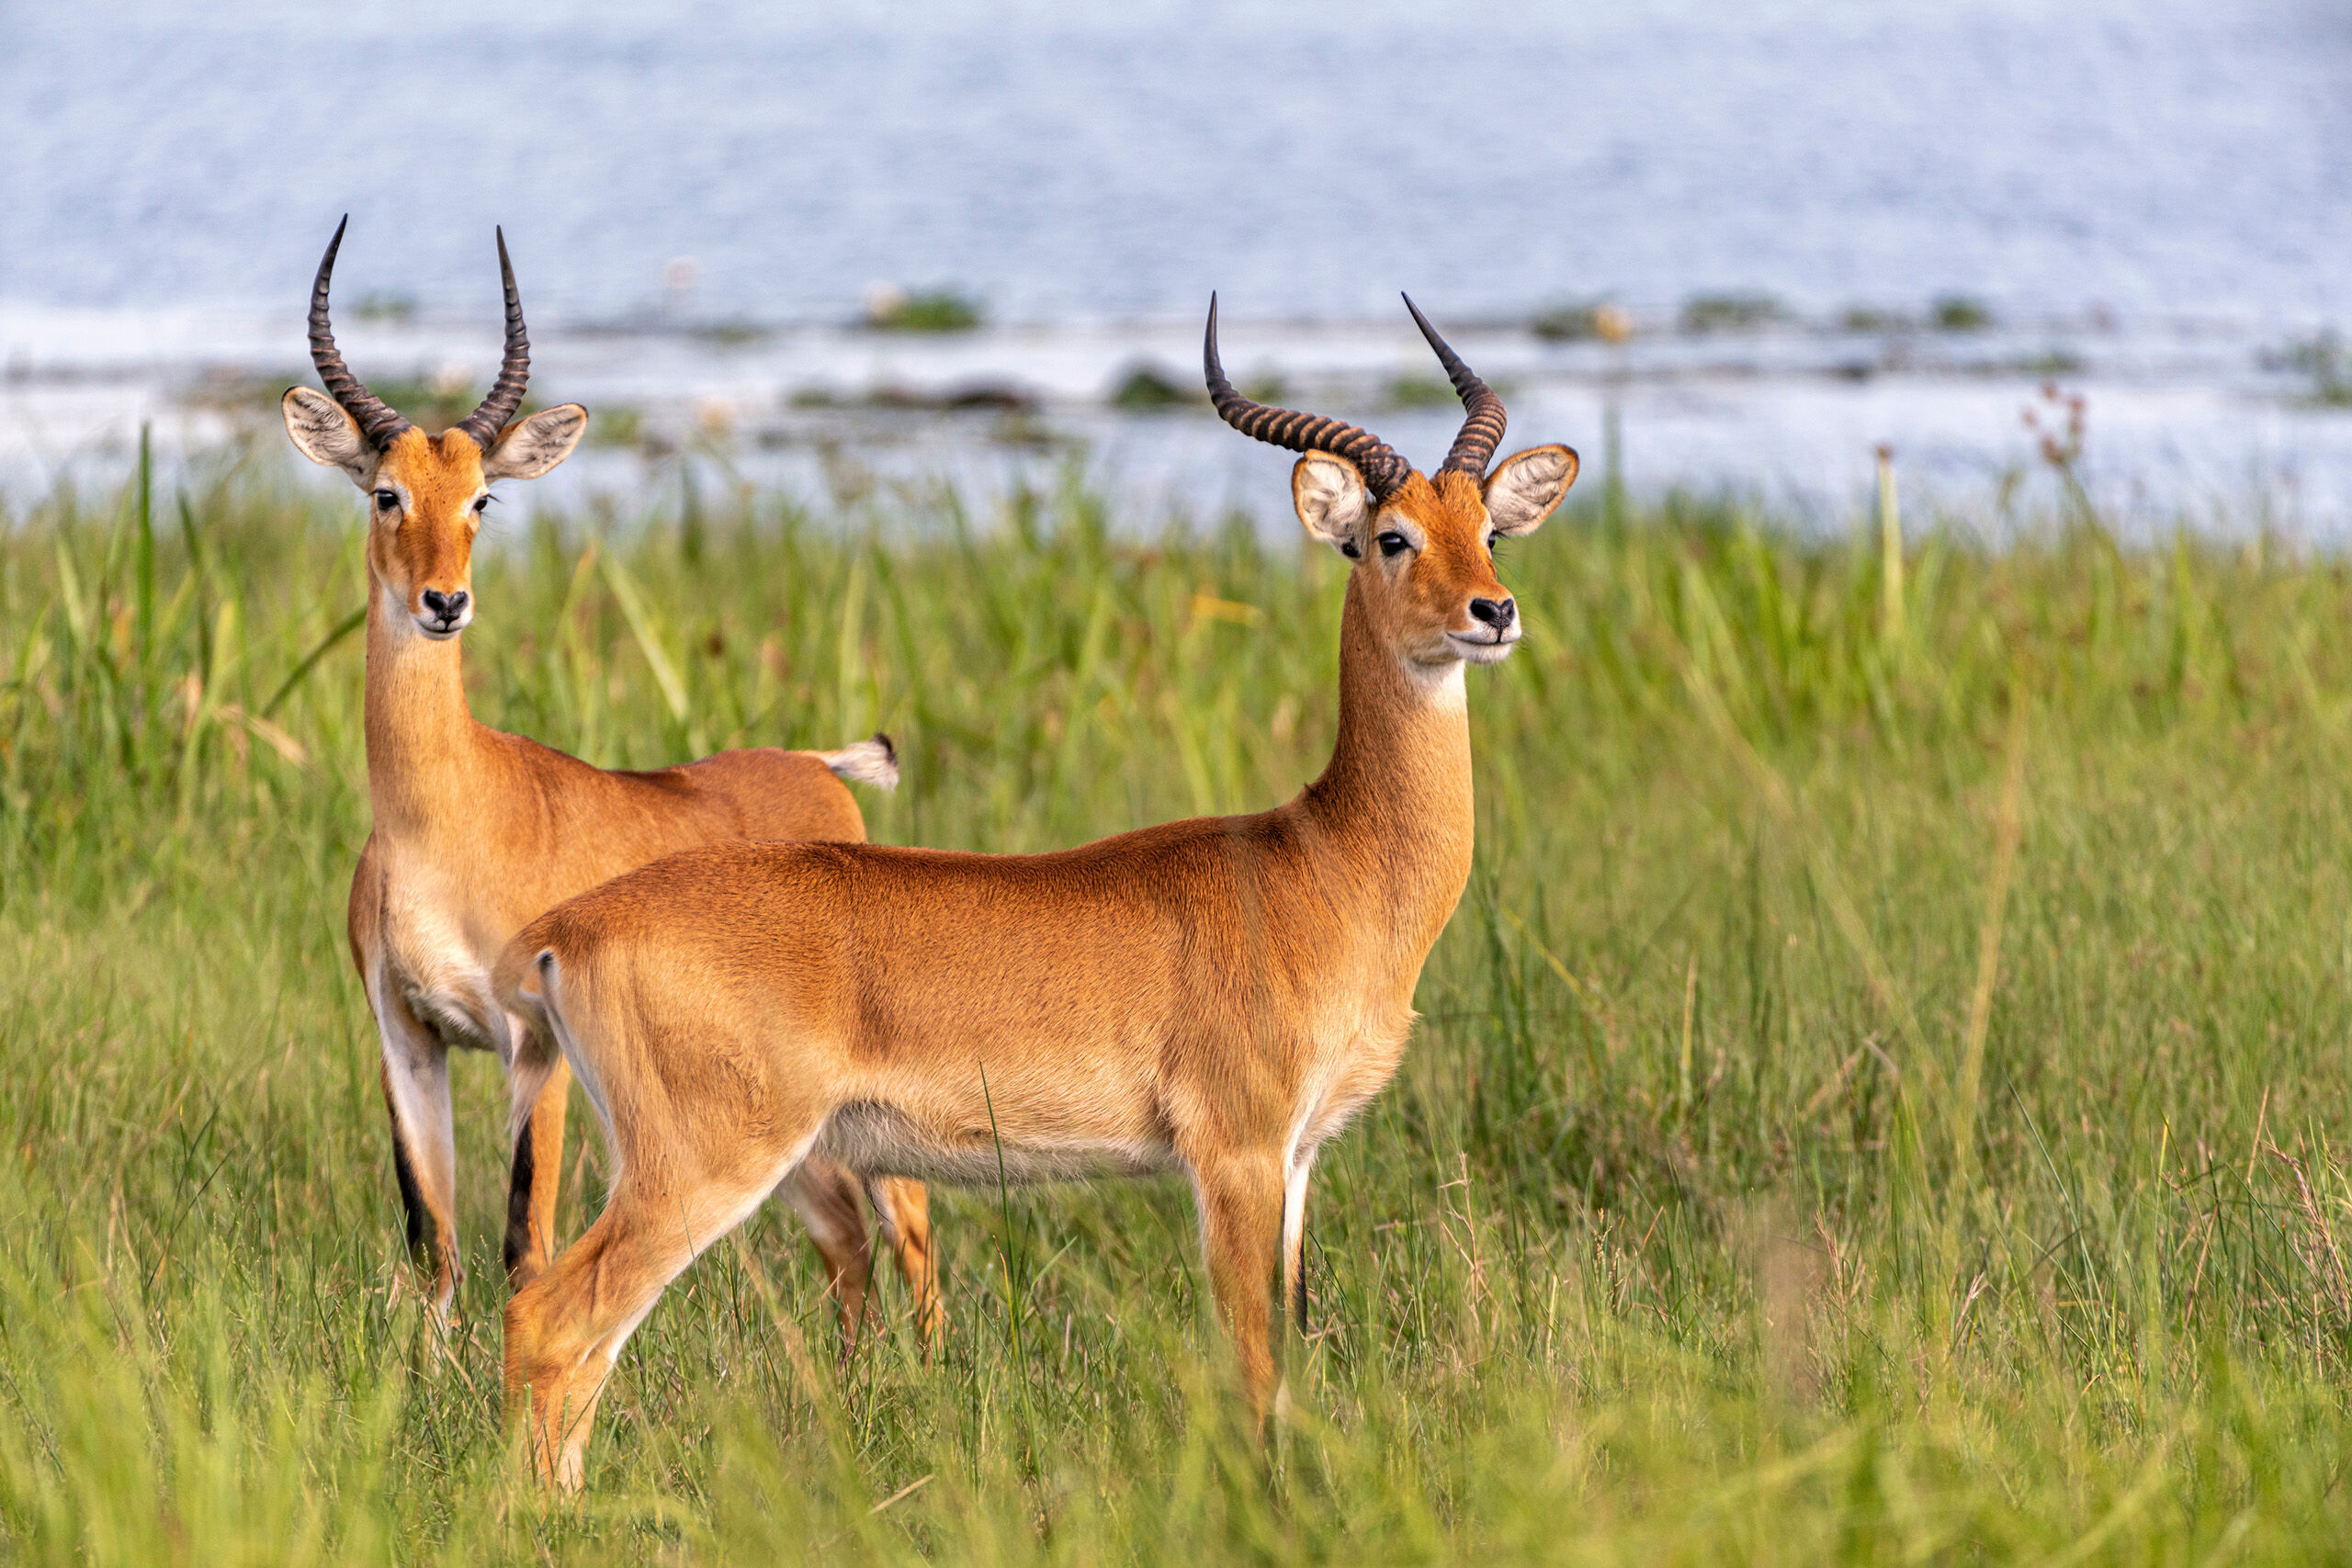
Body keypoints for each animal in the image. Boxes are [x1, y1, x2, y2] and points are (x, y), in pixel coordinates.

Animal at [280, 218, 941, 1344]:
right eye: (386, 492)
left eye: (484, 497)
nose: (444, 602)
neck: (439, 822)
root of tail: (815, 766)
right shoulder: (404, 1035)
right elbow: (433, 1246)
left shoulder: (528, 1044)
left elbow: (522, 1243)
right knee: (848, 1240)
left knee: (911, 1227)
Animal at [494, 295, 1577, 1489]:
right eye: (1391, 537)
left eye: (1488, 529)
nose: (1493, 611)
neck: (1323, 864)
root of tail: (561, 931)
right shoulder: (1234, 1153)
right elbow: (1250, 1363)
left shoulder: (1296, 1160)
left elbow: (1285, 1362)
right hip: (704, 1162)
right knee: (552, 1320)